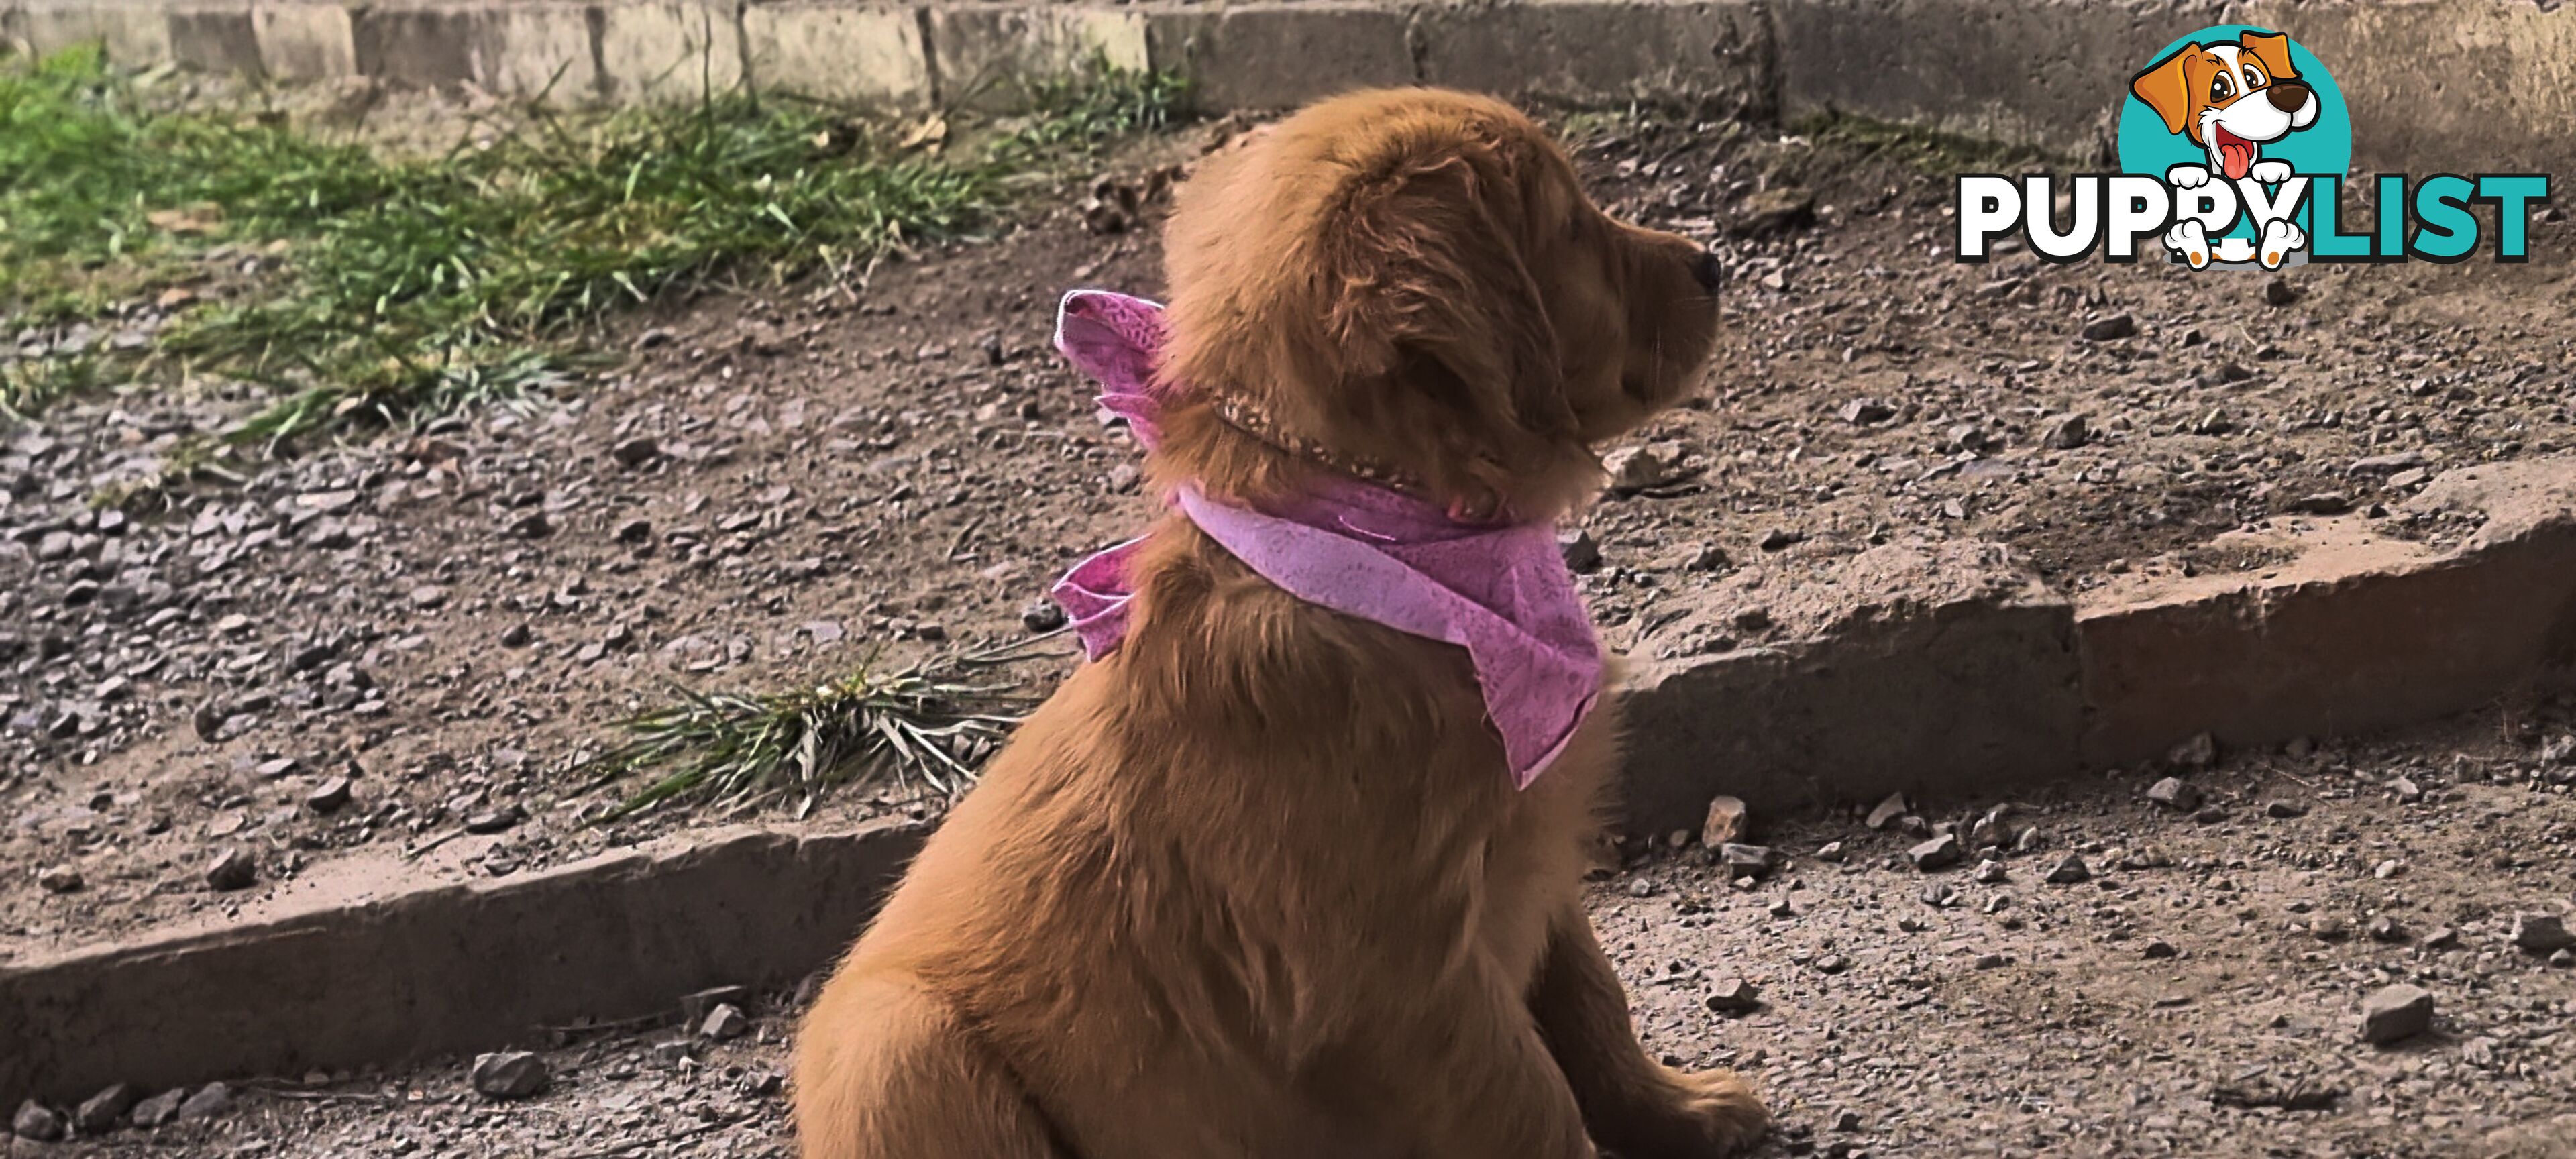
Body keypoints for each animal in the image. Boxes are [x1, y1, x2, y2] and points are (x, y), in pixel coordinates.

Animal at [788, 88, 1752, 1159]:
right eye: (1572, 228)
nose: (1713, 262)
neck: (1382, 547)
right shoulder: (1391, 980)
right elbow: (1529, 1102)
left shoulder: (1532, 855)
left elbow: (1590, 1004)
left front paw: (1684, 1111)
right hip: (894, 1045)